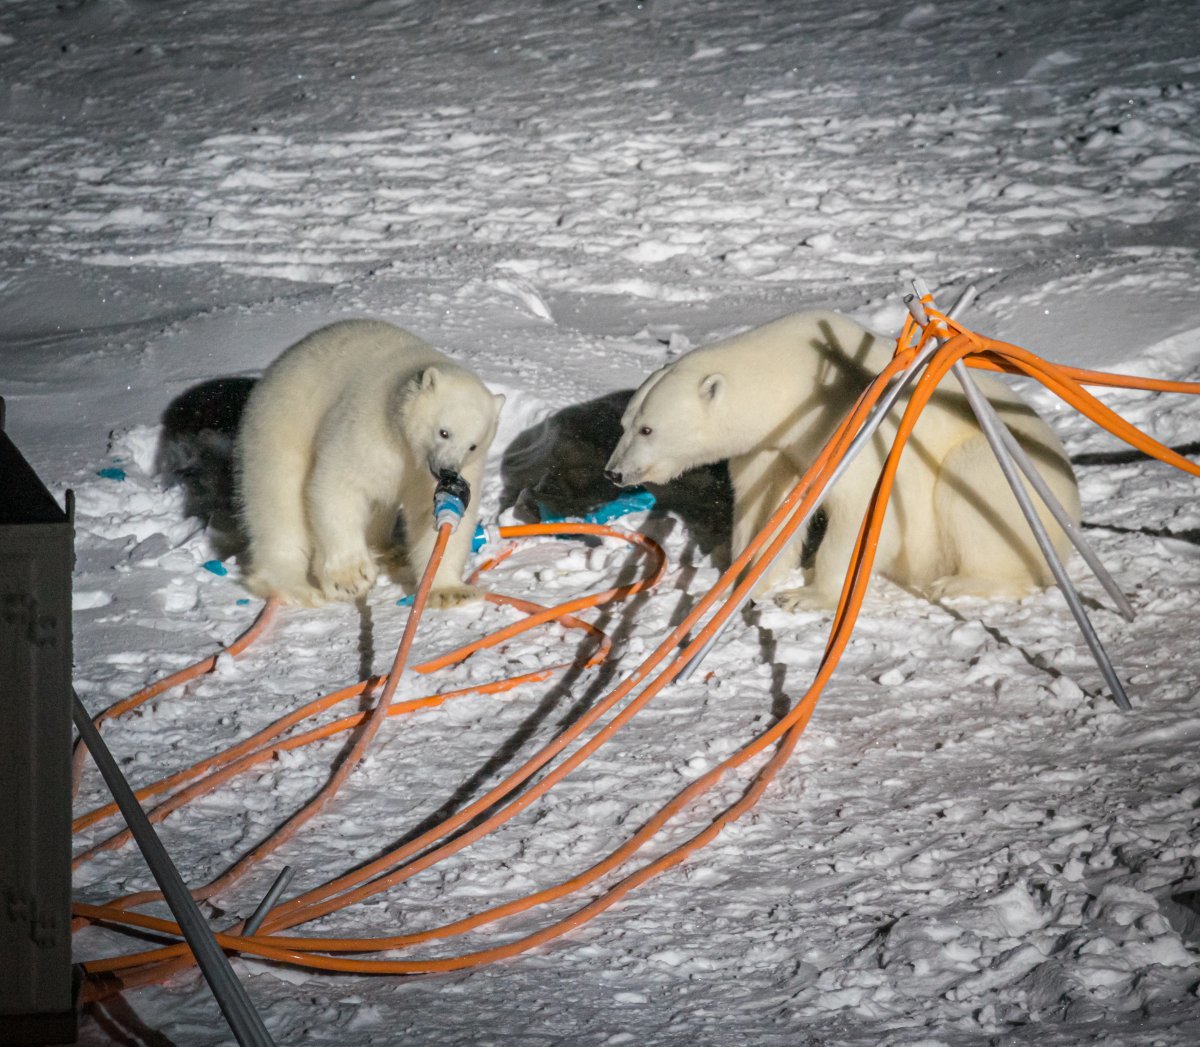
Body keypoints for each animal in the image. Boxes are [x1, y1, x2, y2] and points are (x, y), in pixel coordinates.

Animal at [236, 324, 504, 609]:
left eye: (473, 445)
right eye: (444, 432)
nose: (448, 471)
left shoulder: (437, 473)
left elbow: (432, 517)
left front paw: (450, 591)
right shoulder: (366, 426)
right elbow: (338, 484)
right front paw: (350, 579)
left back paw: (389, 551)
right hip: (281, 427)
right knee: (279, 503)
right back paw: (297, 587)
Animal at [604, 306, 1084, 609]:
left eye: (648, 429)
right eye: (625, 423)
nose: (614, 472)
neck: (796, 383)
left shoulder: (852, 428)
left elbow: (863, 510)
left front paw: (805, 595)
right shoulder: (771, 447)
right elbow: (767, 507)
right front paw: (744, 571)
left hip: (1001, 473)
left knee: (974, 486)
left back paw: (957, 583)